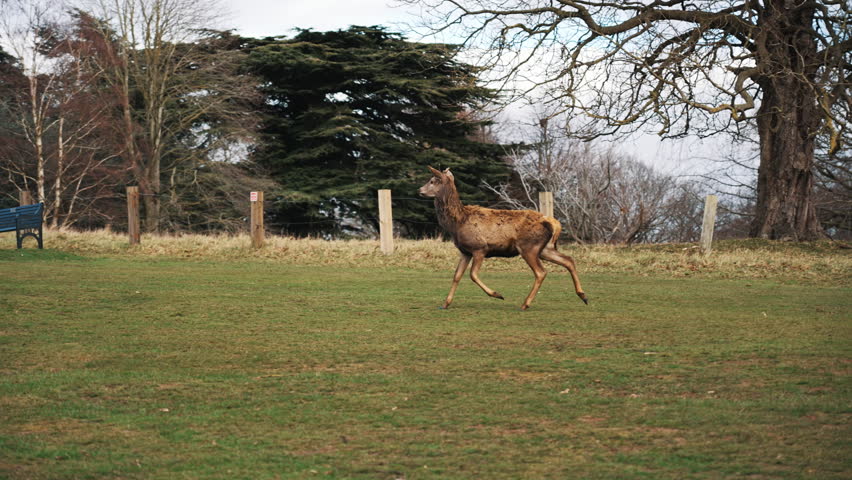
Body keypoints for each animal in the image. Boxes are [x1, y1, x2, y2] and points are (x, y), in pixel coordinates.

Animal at [419, 166, 588, 310]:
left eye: (432, 181)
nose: (419, 190)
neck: (457, 222)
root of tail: (550, 221)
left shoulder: (480, 248)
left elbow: (473, 274)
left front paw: (497, 294)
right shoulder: (465, 251)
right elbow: (456, 276)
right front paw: (445, 304)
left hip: (529, 247)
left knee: (541, 272)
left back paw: (525, 304)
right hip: (545, 249)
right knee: (568, 260)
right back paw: (583, 295)